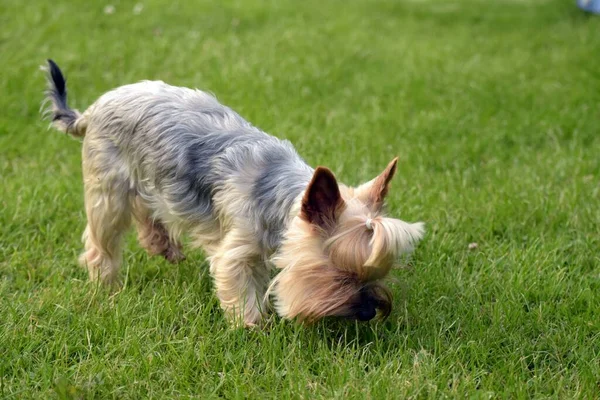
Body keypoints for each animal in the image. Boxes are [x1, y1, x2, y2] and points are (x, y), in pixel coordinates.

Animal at [42, 60, 424, 328]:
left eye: (377, 274)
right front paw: (253, 328)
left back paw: (161, 244)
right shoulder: (237, 248)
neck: (279, 195)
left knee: (146, 210)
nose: (369, 311)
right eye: (340, 274)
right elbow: (239, 286)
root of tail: (93, 108)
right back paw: (107, 286)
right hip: (108, 185)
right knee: (102, 240)